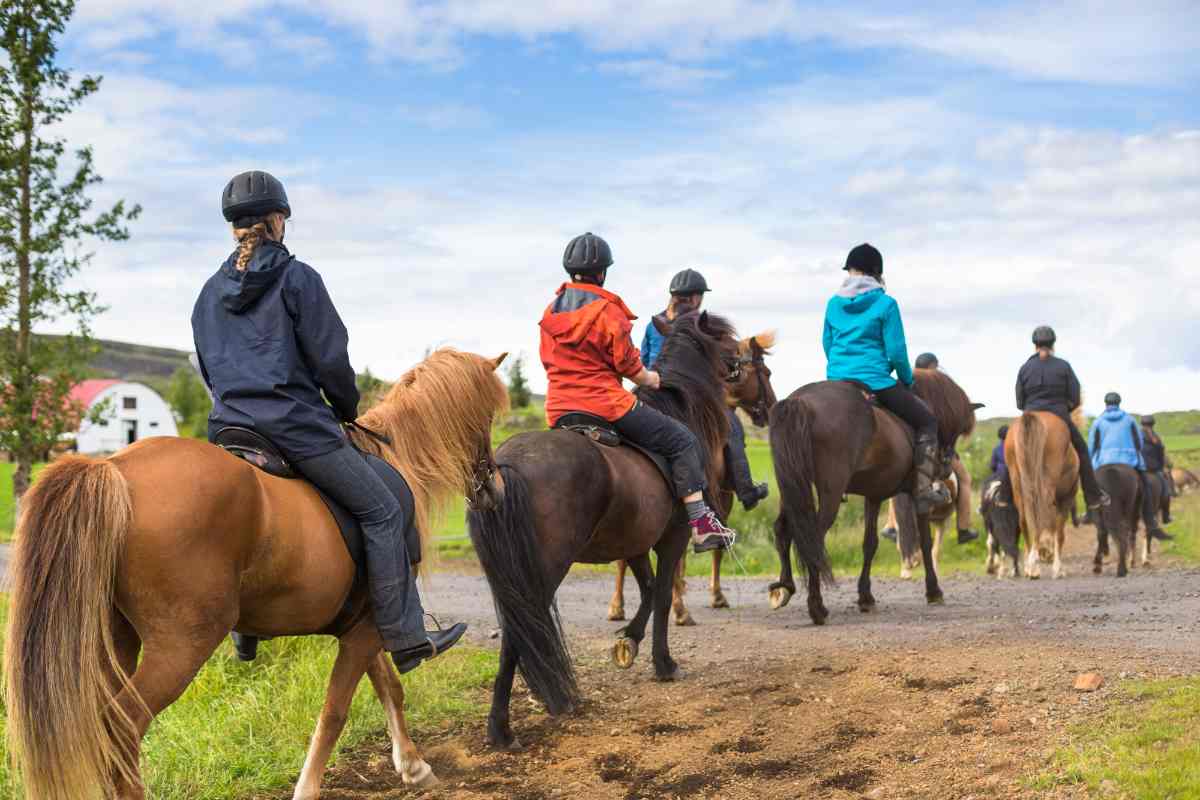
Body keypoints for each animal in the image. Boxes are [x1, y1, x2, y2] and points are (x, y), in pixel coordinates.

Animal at [0, 350, 508, 800]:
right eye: (485, 418)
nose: (496, 489)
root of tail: (114, 469)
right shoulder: (370, 625)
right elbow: (336, 710)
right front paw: (308, 788)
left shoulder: (363, 623)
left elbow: (389, 688)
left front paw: (414, 766)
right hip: (181, 644)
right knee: (122, 727)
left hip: (113, 638)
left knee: (101, 731)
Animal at [465, 311, 729, 753]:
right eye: (728, 341)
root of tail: (505, 468)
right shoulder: (671, 538)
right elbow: (662, 593)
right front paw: (663, 662)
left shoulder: (635, 542)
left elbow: (648, 589)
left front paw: (629, 640)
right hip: (543, 571)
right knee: (521, 631)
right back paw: (503, 728)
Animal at [609, 331, 777, 623]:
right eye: (765, 372)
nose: (771, 407)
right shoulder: (721, 495)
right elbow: (716, 546)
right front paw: (714, 597)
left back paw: (617, 606)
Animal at [763, 369, 979, 623]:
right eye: (956, 430)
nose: (946, 469)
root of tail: (800, 401)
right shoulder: (919, 498)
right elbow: (924, 542)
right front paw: (934, 591)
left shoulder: (874, 496)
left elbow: (870, 544)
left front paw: (865, 597)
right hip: (830, 492)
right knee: (812, 538)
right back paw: (816, 607)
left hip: (791, 486)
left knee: (783, 529)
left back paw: (784, 588)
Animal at [1008, 410, 1084, 578]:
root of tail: (1031, 416)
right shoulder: (1065, 500)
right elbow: (1059, 532)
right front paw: (1057, 568)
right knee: (1042, 512)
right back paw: (1036, 560)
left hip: (1018, 483)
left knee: (1024, 518)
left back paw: (1031, 566)